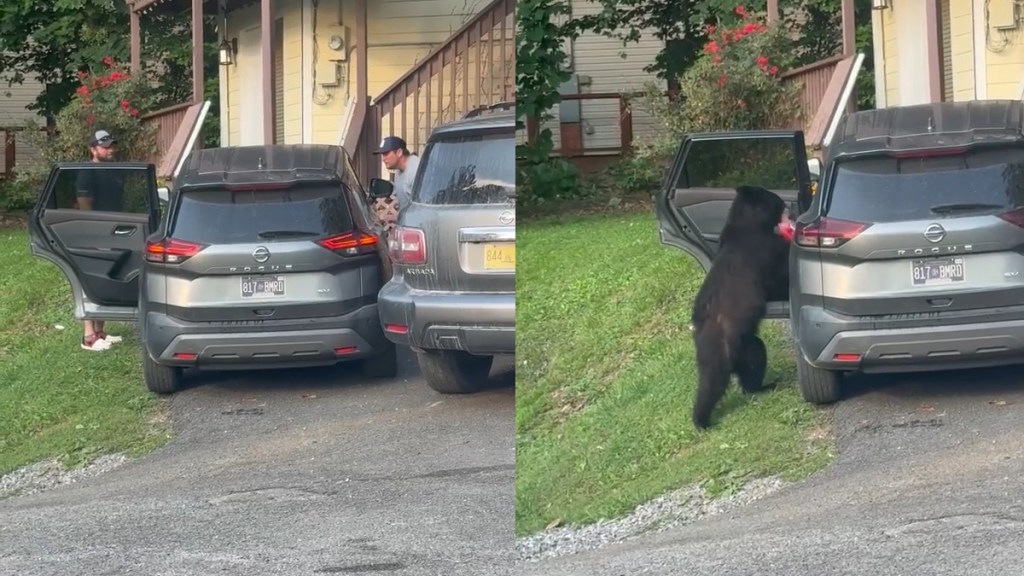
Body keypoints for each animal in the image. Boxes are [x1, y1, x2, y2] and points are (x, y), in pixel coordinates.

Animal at [690, 185, 793, 430]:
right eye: (776, 198)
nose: (789, 206)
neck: (746, 225)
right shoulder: (766, 250)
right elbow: (780, 278)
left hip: (742, 347)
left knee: (753, 364)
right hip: (722, 349)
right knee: (713, 382)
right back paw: (702, 420)